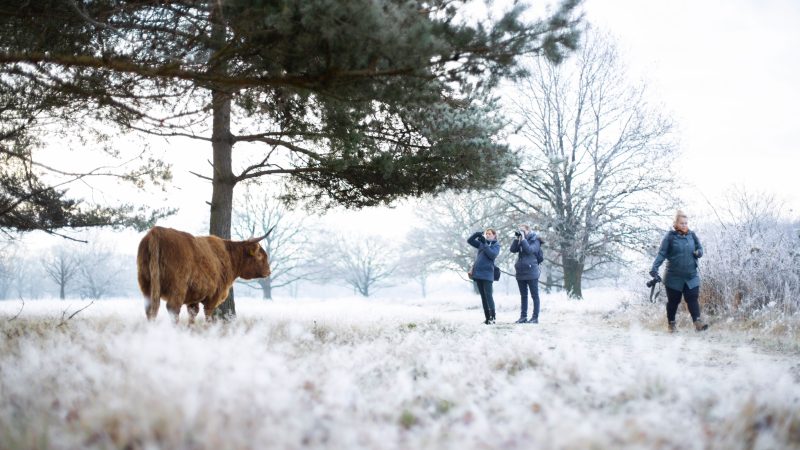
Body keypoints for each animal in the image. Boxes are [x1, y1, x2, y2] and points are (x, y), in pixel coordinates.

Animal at [136, 227, 274, 322]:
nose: (269, 271)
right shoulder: (214, 296)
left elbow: (193, 314)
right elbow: (208, 315)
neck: (230, 257)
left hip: (146, 284)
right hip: (178, 287)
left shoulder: (194, 298)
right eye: (260, 255)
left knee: (150, 309)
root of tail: (157, 230)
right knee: (173, 309)